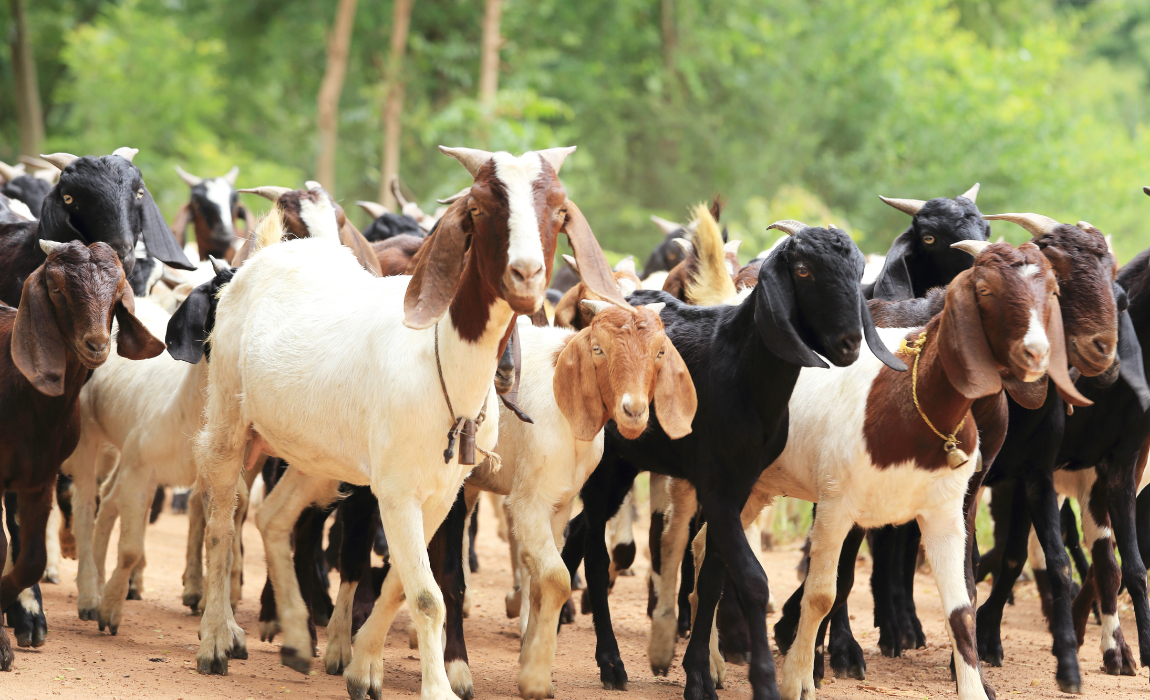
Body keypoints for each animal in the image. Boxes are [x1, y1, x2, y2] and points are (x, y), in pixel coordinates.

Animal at [190, 145, 630, 698]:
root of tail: (268, 254)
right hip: (230, 420)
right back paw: (215, 640)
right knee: (222, 525)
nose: (526, 275)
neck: (441, 362)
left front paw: (362, 666)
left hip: (317, 455)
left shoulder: (442, 493)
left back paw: (293, 635)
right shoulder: (397, 491)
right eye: (480, 207)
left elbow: (404, 583)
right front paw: (436, 686)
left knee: (274, 518)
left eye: (558, 210)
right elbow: (426, 594)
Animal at [558, 210, 906, 694]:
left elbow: (713, 576)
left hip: (628, 463)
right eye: (803, 270)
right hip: (605, 465)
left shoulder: (741, 484)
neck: (741, 369)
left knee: (579, 533)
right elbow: (752, 580)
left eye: (858, 273)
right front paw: (760, 678)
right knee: (594, 552)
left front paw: (699, 674)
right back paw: (610, 663)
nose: (850, 343)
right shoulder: (716, 485)